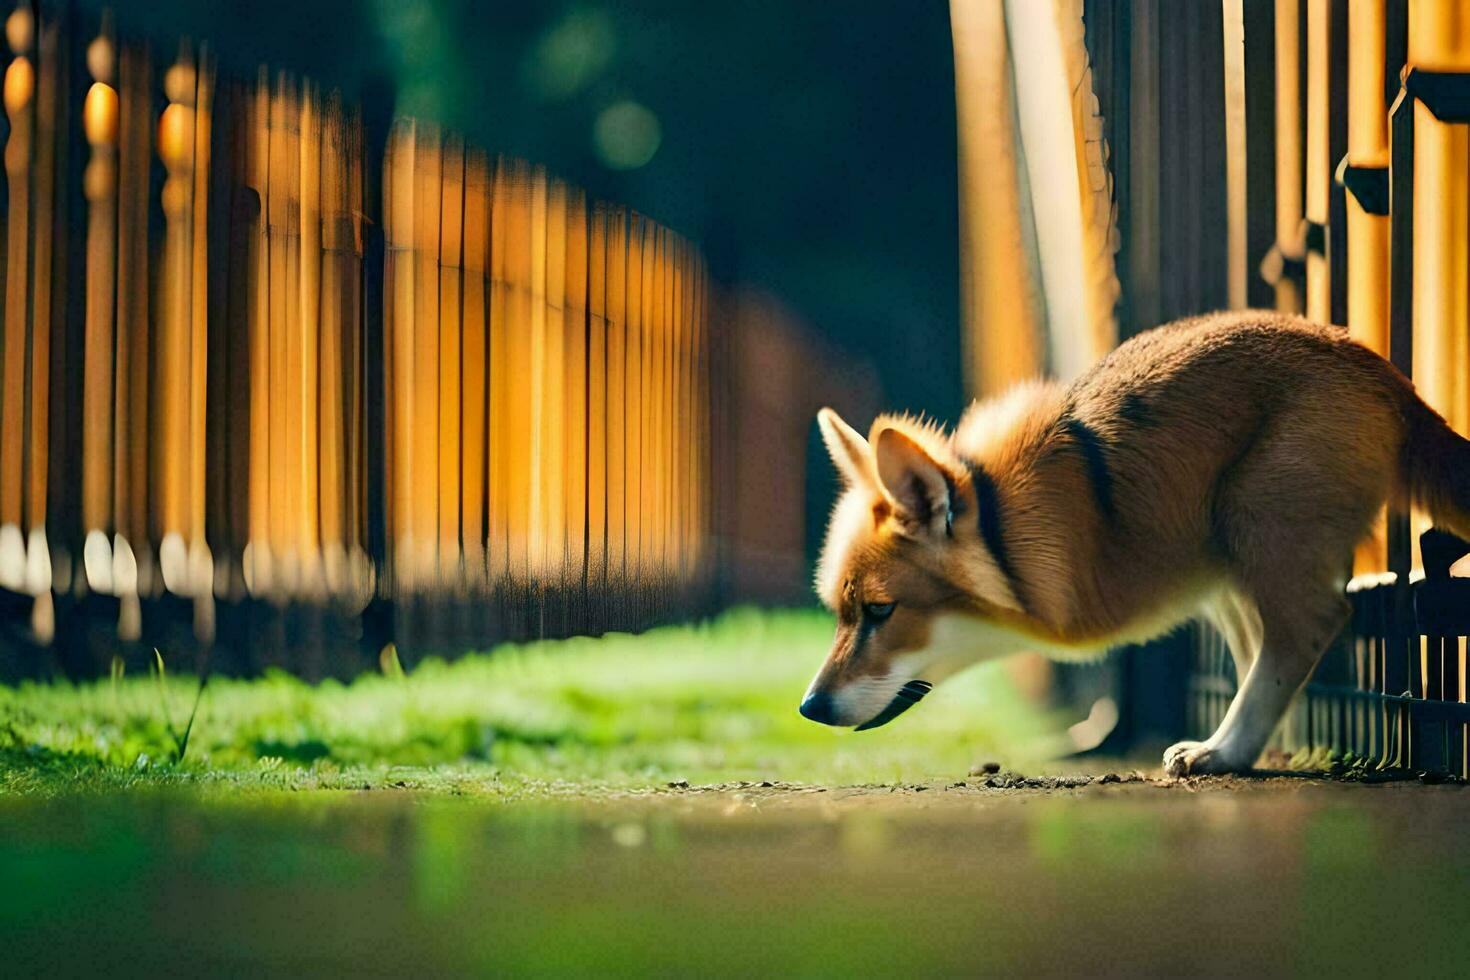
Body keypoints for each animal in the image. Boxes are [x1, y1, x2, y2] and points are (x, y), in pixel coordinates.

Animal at [805, 312, 1470, 775]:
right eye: (839, 612)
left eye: (880, 611)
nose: (809, 710)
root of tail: (1383, 373)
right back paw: (1233, 748)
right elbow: (1252, 659)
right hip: (1228, 559)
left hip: (1256, 524)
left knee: (1310, 626)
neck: (1011, 522)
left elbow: (1274, 659)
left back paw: (1226, 749)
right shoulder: (1214, 585)